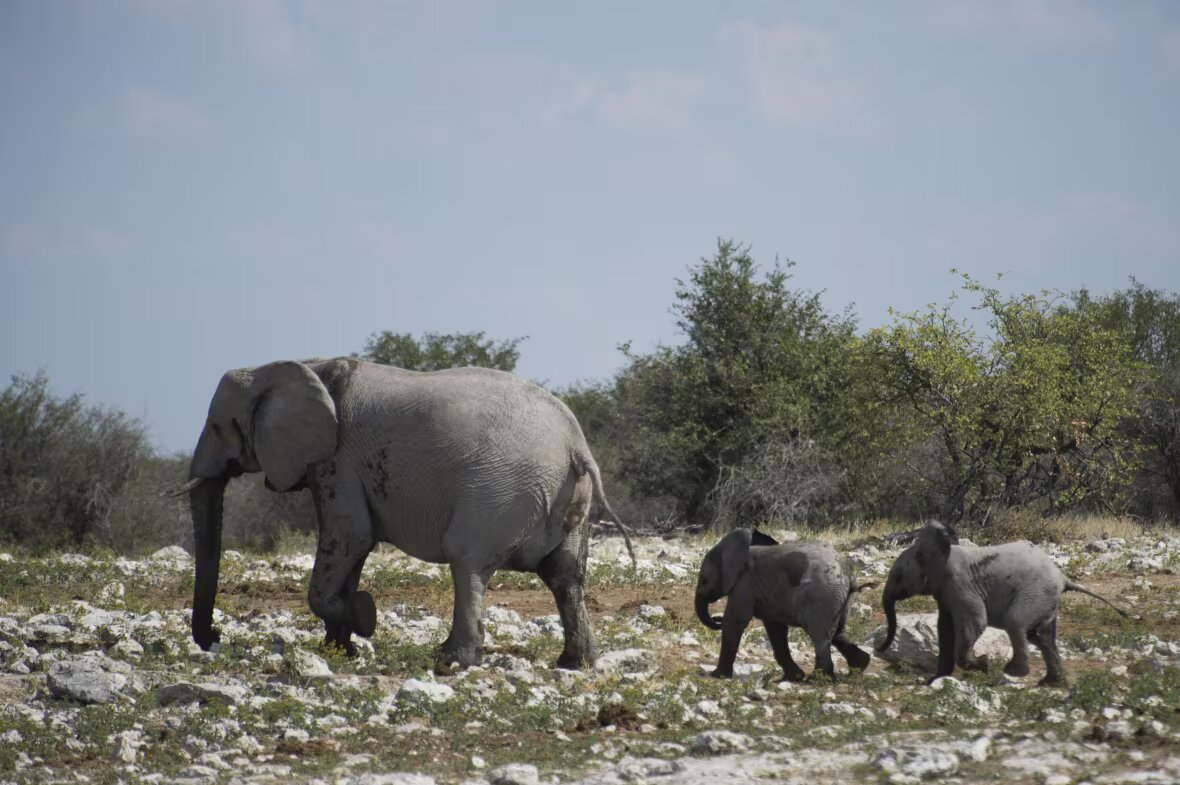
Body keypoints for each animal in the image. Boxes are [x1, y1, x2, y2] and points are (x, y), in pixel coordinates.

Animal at [175, 357, 634, 670]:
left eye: (218, 427)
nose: (213, 636)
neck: (298, 365)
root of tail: (575, 444)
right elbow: (353, 550)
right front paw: (339, 649)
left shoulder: (336, 460)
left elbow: (351, 537)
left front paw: (364, 617)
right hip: (566, 498)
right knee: (565, 575)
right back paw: (574, 662)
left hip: (500, 491)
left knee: (467, 561)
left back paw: (451, 660)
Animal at [695, 529, 876, 681]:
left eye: (703, 580)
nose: (716, 618)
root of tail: (849, 574)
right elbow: (775, 628)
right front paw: (794, 677)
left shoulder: (744, 583)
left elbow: (735, 621)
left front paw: (717, 676)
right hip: (839, 598)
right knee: (837, 633)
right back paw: (858, 667)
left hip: (823, 595)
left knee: (820, 635)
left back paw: (818, 680)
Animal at [877, 520, 1131, 686]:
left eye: (898, 577)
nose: (879, 649)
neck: (944, 552)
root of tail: (1063, 578)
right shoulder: (946, 594)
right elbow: (945, 630)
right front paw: (935, 681)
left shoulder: (961, 587)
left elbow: (975, 623)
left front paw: (983, 664)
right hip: (1046, 600)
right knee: (1041, 636)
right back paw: (1051, 683)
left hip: (1036, 593)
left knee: (1016, 622)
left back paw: (1013, 671)